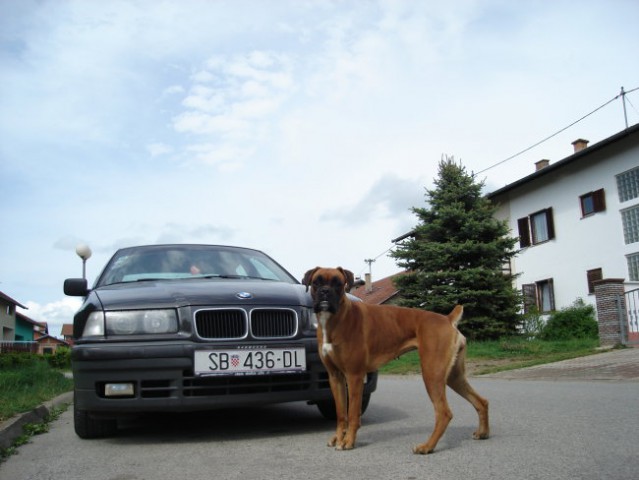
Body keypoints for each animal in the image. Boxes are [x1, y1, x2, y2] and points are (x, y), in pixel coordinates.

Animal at [304, 268, 490, 456]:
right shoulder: (335, 377)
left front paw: (348, 441)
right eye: (316, 282)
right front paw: (338, 437)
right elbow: (341, 413)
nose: (325, 291)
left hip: (432, 373)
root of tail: (447, 319)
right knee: (481, 401)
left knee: (444, 413)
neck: (336, 318)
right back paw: (482, 433)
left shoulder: (354, 376)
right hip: (453, 376)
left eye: (338, 283)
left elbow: (353, 412)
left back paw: (427, 446)